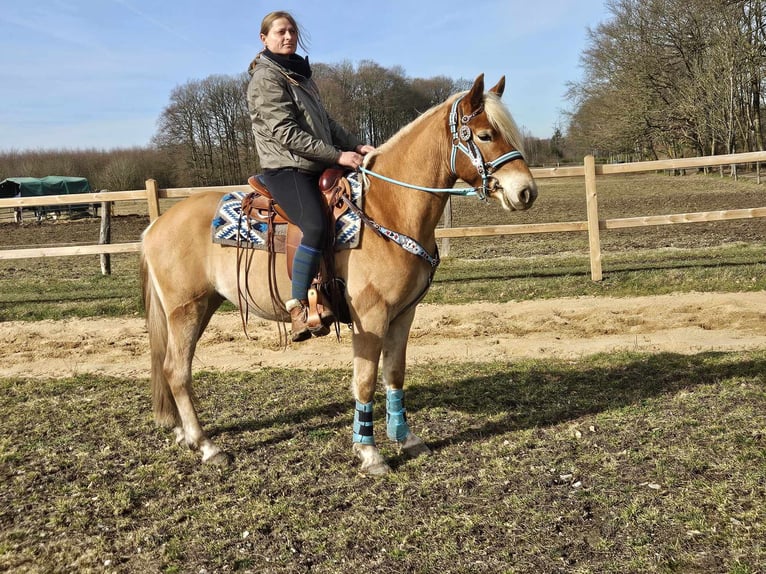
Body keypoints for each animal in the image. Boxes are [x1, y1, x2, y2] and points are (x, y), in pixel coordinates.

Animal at [142, 73, 540, 476]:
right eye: (486, 134)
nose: (526, 191)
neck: (387, 208)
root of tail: (156, 226)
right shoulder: (371, 317)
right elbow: (364, 381)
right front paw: (369, 452)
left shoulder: (403, 315)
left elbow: (394, 374)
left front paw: (406, 439)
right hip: (186, 310)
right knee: (176, 371)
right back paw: (207, 446)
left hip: (203, 305)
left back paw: (186, 435)